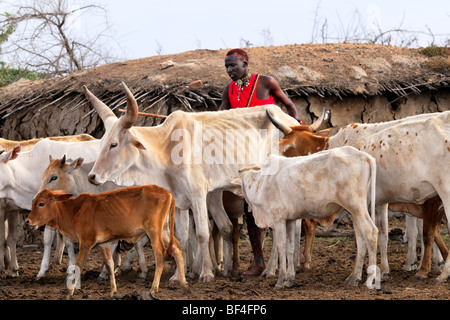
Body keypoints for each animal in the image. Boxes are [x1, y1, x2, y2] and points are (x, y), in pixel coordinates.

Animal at [26, 185, 188, 298]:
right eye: (33, 202)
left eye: (41, 204)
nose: (27, 222)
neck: (74, 211)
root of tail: (166, 192)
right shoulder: (102, 244)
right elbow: (110, 263)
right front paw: (113, 290)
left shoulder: (86, 242)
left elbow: (78, 265)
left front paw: (69, 292)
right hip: (165, 230)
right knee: (177, 248)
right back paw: (183, 283)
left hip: (154, 231)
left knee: (160, 254)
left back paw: (154, 288)